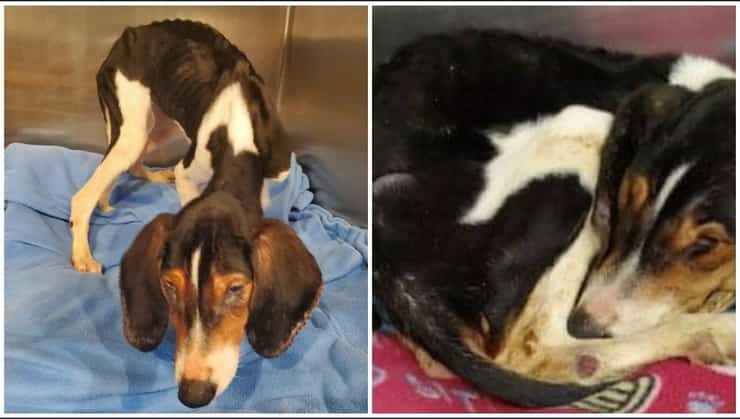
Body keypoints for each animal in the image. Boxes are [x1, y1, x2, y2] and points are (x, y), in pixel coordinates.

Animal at [69, 20, 322, 408]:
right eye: (170, 286)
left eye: (236, 288)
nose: (193, 393)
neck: (236, 137)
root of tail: (130, 32)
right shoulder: (190, 175)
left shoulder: (277, 179)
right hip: (133, 129)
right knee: (85, 195)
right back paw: (83, 254)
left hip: (152, 130)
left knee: (129, 167)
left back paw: (147, 178)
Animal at [373, 29, 735, 407]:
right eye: (624, 200)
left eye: (706, 245)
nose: (585, 324)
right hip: (584, 126)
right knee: (537, 351)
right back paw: (714, 333)